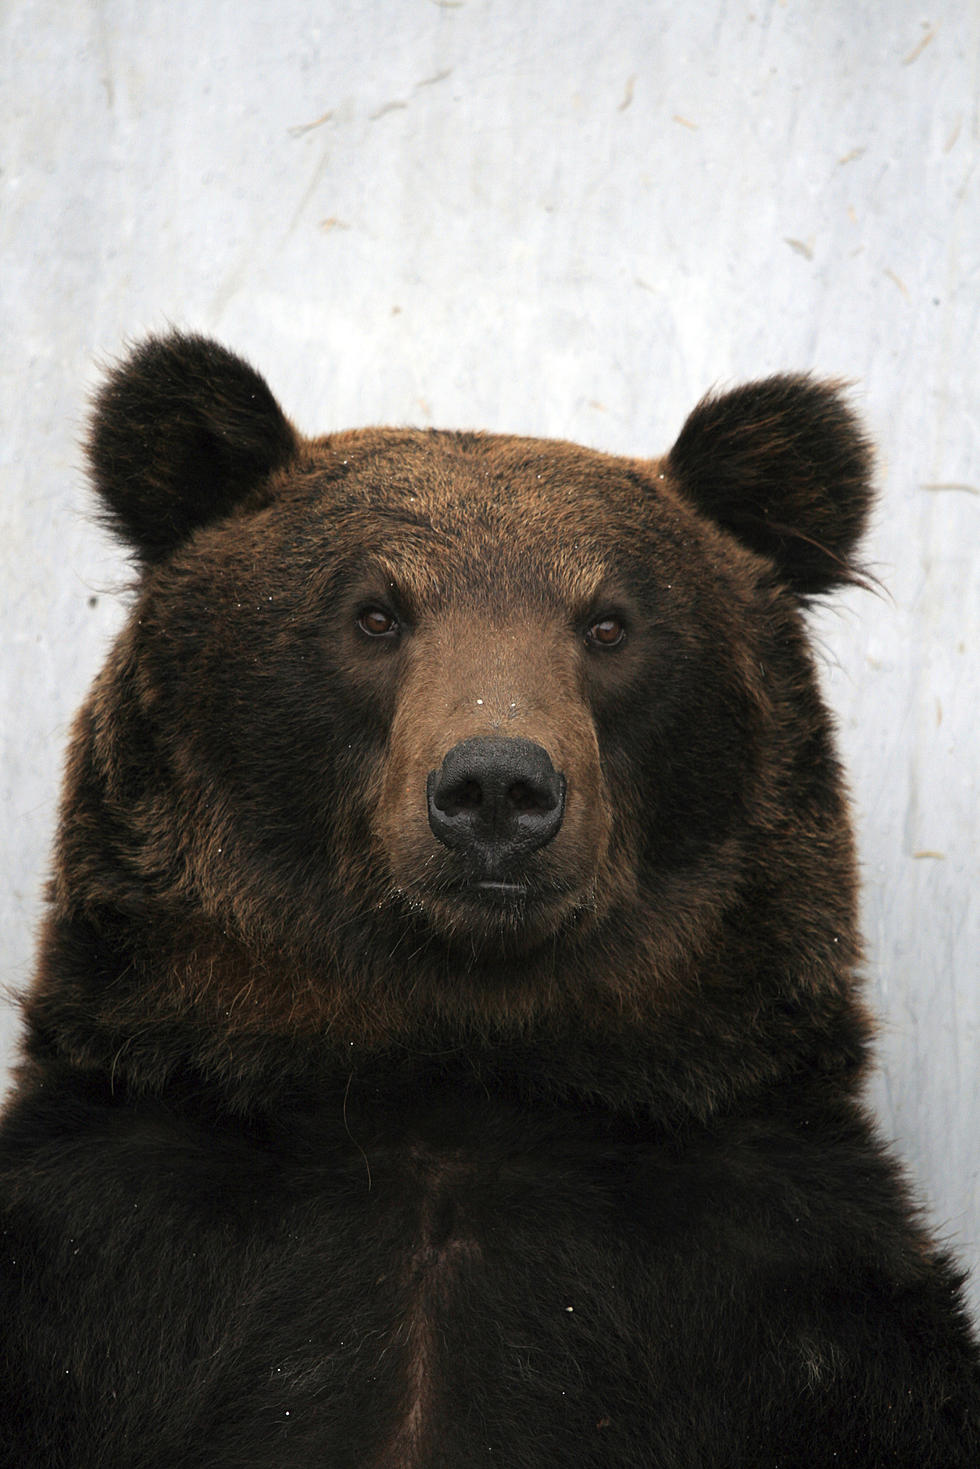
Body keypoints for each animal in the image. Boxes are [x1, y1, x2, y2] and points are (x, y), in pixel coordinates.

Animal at [0, 336, 975, 1469]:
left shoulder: (790, 1289)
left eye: (609, 622)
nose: (498, 787)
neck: (452, 1056)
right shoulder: (105, 1255)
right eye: (374, 612)